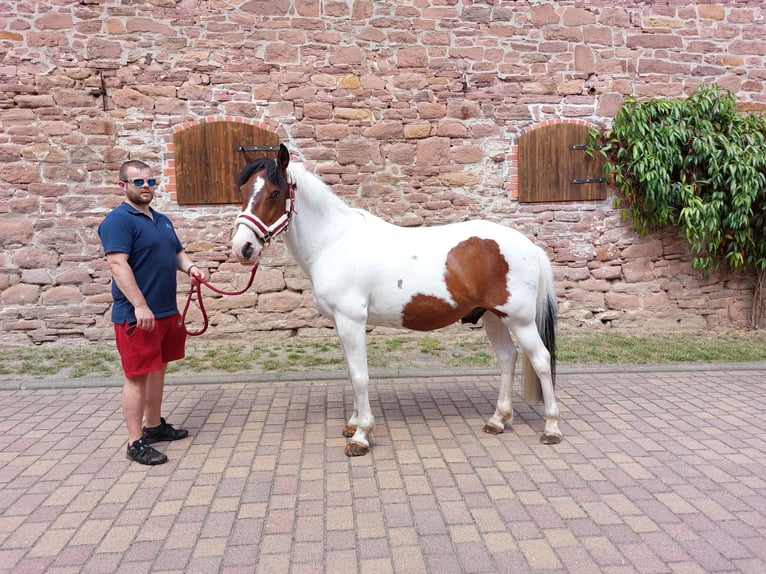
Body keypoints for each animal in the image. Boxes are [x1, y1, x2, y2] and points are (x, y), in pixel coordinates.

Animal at [231, 144, 562, 456]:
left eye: (275, 193)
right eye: (243, 191)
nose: (243, 247)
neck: (333, 242)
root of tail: (530, 246)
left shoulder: (352, 321)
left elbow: (360, 376)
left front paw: (361, 436)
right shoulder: (341, 324)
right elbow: (351, 372)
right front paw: (352, 424)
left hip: (520, 320)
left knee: (541, 360)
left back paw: (551, 429)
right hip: (493, 316)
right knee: (507, 358)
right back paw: (498, 420)